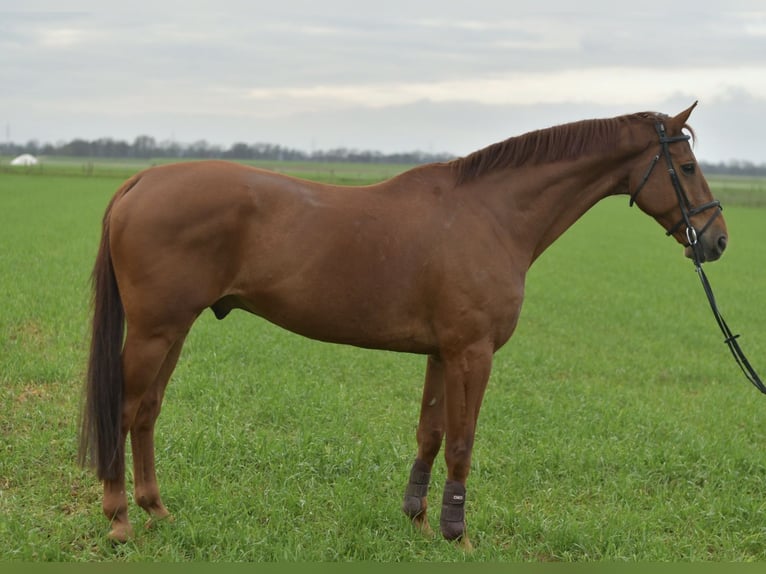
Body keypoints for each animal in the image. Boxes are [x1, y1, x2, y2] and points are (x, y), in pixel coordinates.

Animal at [79, 102, 728, 546]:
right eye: (687, 164)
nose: (717, 240)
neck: (490, 214)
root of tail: (144, 179)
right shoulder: (472, 353)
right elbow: (462, 442)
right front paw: (457, 534)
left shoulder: (441, 353)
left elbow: (431, 434)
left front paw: (417, 520)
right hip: (155, 331)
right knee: (126, 411)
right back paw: (119, 519)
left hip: (175, 330)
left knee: (148, 413)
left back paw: (156, 510)